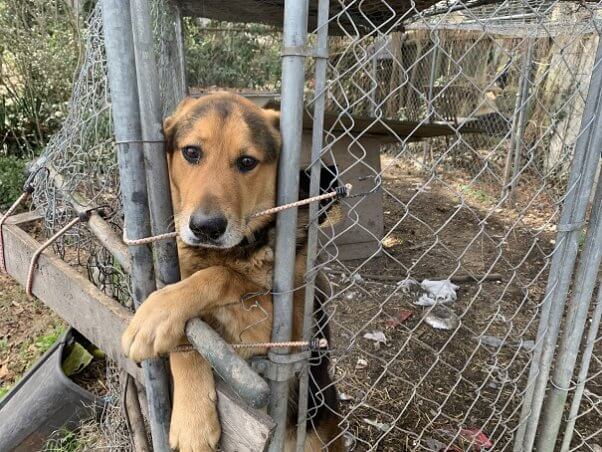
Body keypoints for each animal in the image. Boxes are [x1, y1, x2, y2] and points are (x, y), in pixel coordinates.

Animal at [120, 92, 342, 452]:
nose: (206, 228)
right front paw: (193, 418)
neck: (233, 251)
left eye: (247, 162)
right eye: (192, 153)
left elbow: (220, 277)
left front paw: (157, 313)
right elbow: (191, 335)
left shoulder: (283, 336)